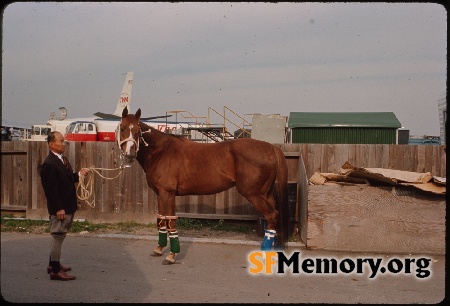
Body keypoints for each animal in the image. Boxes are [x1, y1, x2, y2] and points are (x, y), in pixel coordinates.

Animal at [117, 107, 288, 262]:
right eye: (123, 128)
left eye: (138, 131)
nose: (129, 155)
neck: (161, 151)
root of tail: (271, 148)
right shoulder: (160, 194)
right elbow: (161, 219)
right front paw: (159, 249)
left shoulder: (168, 193)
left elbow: (170, 221)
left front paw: (171, 255)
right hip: (266, 194)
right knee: (273, 217)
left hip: (254, 194)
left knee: (272, 215)